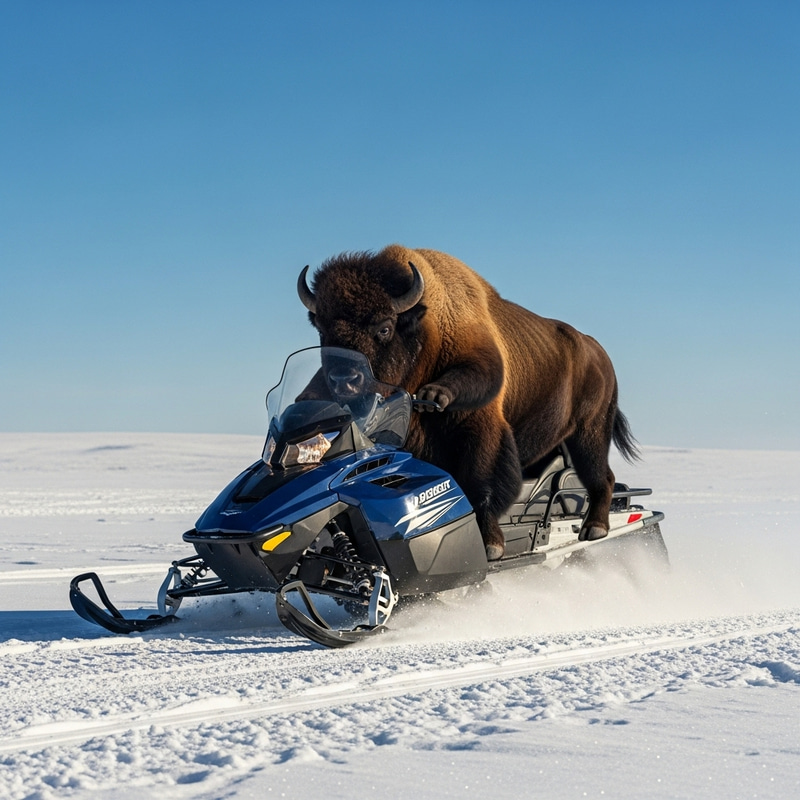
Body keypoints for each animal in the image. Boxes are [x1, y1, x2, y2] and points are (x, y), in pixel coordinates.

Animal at [297, 245, 638, 560]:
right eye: (323, 330)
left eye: (384, 327)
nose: (344, 380)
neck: (425, 334)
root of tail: (599, 355)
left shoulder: (480, 426)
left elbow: (479, 487)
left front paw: (490, 546)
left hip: (589, 434)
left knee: (601, 477)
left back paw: (594, 528)